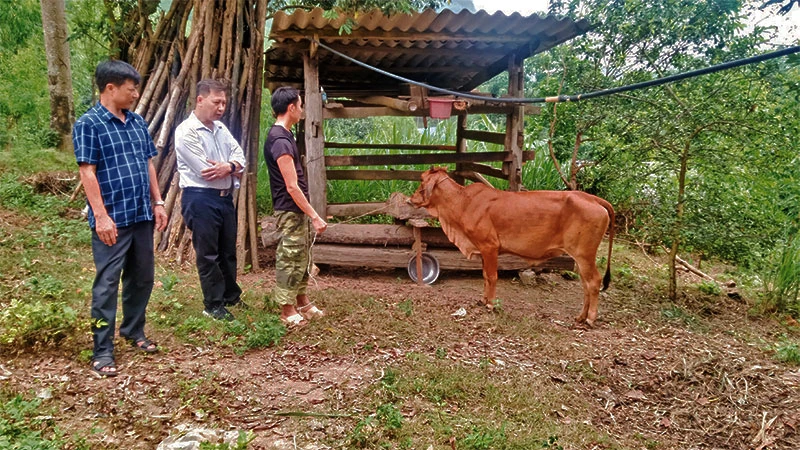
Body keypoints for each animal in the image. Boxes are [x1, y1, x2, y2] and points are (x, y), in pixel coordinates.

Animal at [410, 167, 616, 326]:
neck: (464, 202)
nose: (410, 199)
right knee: (585, 284)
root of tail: (593, 198)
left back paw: (590, 319)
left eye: (421, 179)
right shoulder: (483, 251)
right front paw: (483, 299)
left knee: (594, 282)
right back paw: (580, 317)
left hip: (584, 255)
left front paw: (491, 304)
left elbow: (492, 276)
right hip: (580, 258)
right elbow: (485, 276)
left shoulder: (490, 247)